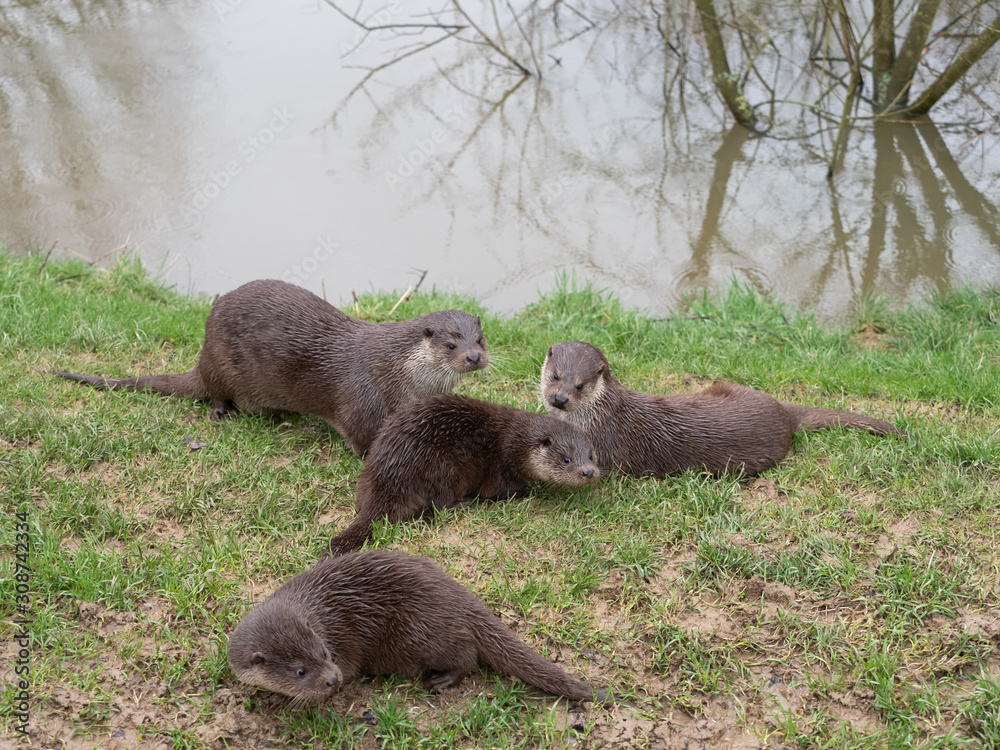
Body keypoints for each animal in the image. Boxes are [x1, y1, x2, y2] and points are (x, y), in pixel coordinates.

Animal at [55, 279, 488, 454]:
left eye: (480, 339)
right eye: (451, 344)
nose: (474, 357)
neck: (396, 371)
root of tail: (201, 356)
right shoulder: (360, 398)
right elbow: (365, 439)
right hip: (220, 365)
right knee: (215, 393)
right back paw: (224, 413)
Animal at [228, 550, 599, 705]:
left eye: (324, 653)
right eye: (300, 671)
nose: (332, 679)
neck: (317, 615)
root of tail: (459, 595)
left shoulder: (342, 649)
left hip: (418, 632)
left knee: (466, 655)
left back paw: (441, 681)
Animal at [327, 394, 599, 555]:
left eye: (591, 456)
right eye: (566, 459)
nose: (588, 472)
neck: (516, 443)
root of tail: (389, 473)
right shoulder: (501, 469)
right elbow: (501, 491)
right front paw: (530, 490)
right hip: (445, 469)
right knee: (437, 505)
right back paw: (462, 503)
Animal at [540, 340, 903, 477]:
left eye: (580, 386)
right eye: (555, 375)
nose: (559, 399)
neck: (597, 415)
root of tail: (782, 412)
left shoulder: (603, 445)